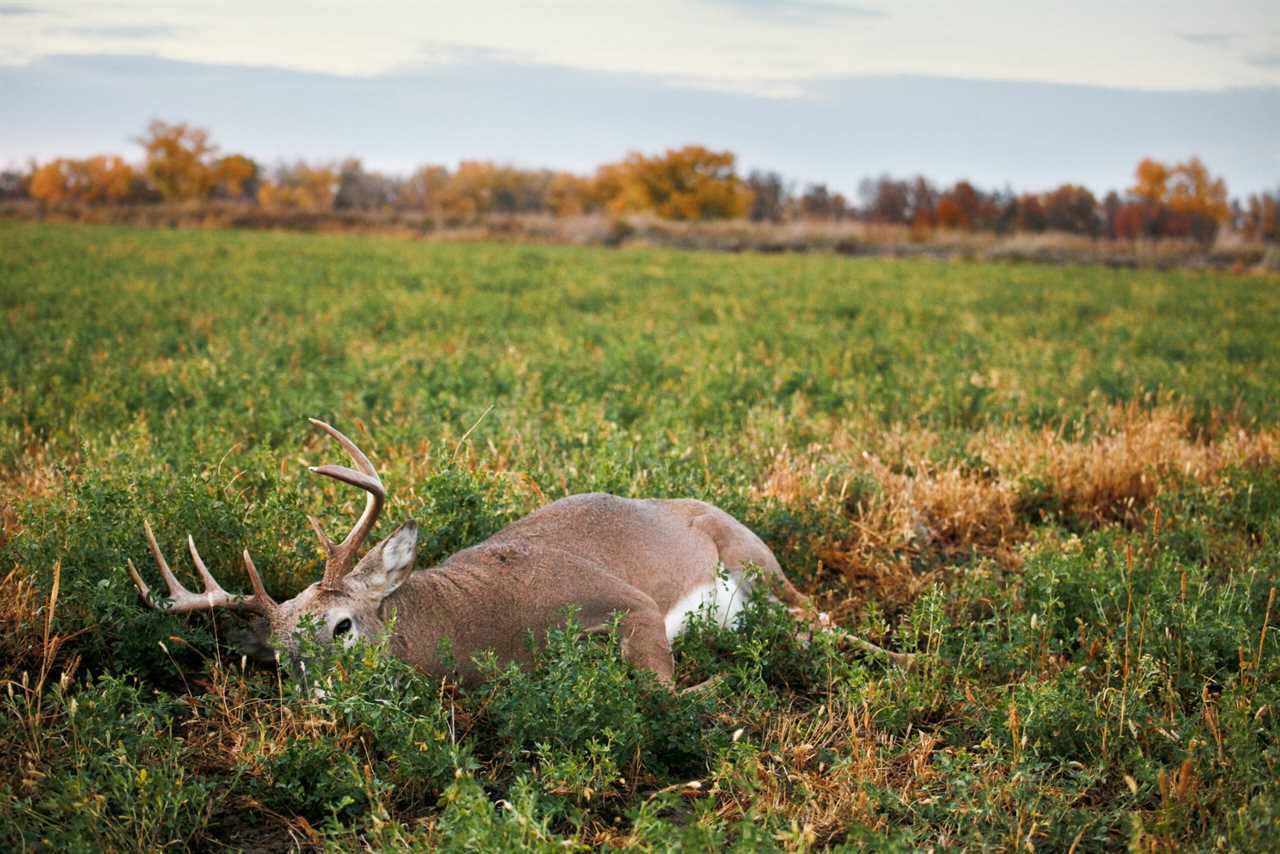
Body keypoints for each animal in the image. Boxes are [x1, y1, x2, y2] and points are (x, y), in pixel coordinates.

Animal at [127, 417, 911, 686]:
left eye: (342, 625)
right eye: (278, 654)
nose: (318, 696)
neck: (464, 623)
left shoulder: (627, 603)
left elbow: (663, 694)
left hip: (755, 558)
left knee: (823, 620)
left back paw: (907, 659)